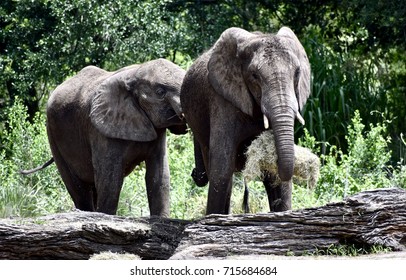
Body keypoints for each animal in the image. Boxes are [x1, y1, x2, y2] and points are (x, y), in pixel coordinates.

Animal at [21, 58, 186, 217]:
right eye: (160, 92)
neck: (135, 73)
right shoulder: (100, 130)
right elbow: (110, 181)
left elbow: (159, 177)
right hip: (53, 133)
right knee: (79, 188)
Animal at [181, 26, 310, 214]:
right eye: (254, 75)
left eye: (297, 73)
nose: (194, 174)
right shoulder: (222, 99)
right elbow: (222, 165)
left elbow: (276, 174)